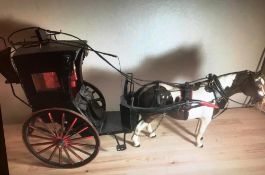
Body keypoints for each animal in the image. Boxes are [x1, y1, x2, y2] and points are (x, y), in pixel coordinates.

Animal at [130, 70, 264, 147]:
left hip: (150, 114)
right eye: (258, 85)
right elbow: (201, 131)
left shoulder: (202, 118)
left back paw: (151, 134)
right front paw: (199, 143)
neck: (215, 92)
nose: (262, 100)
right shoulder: (207, 119)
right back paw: (136, 142)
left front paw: (197, 137)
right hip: (151, 114)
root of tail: (144, 88)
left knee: (144, 124)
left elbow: (199, 129)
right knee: (138, 127)